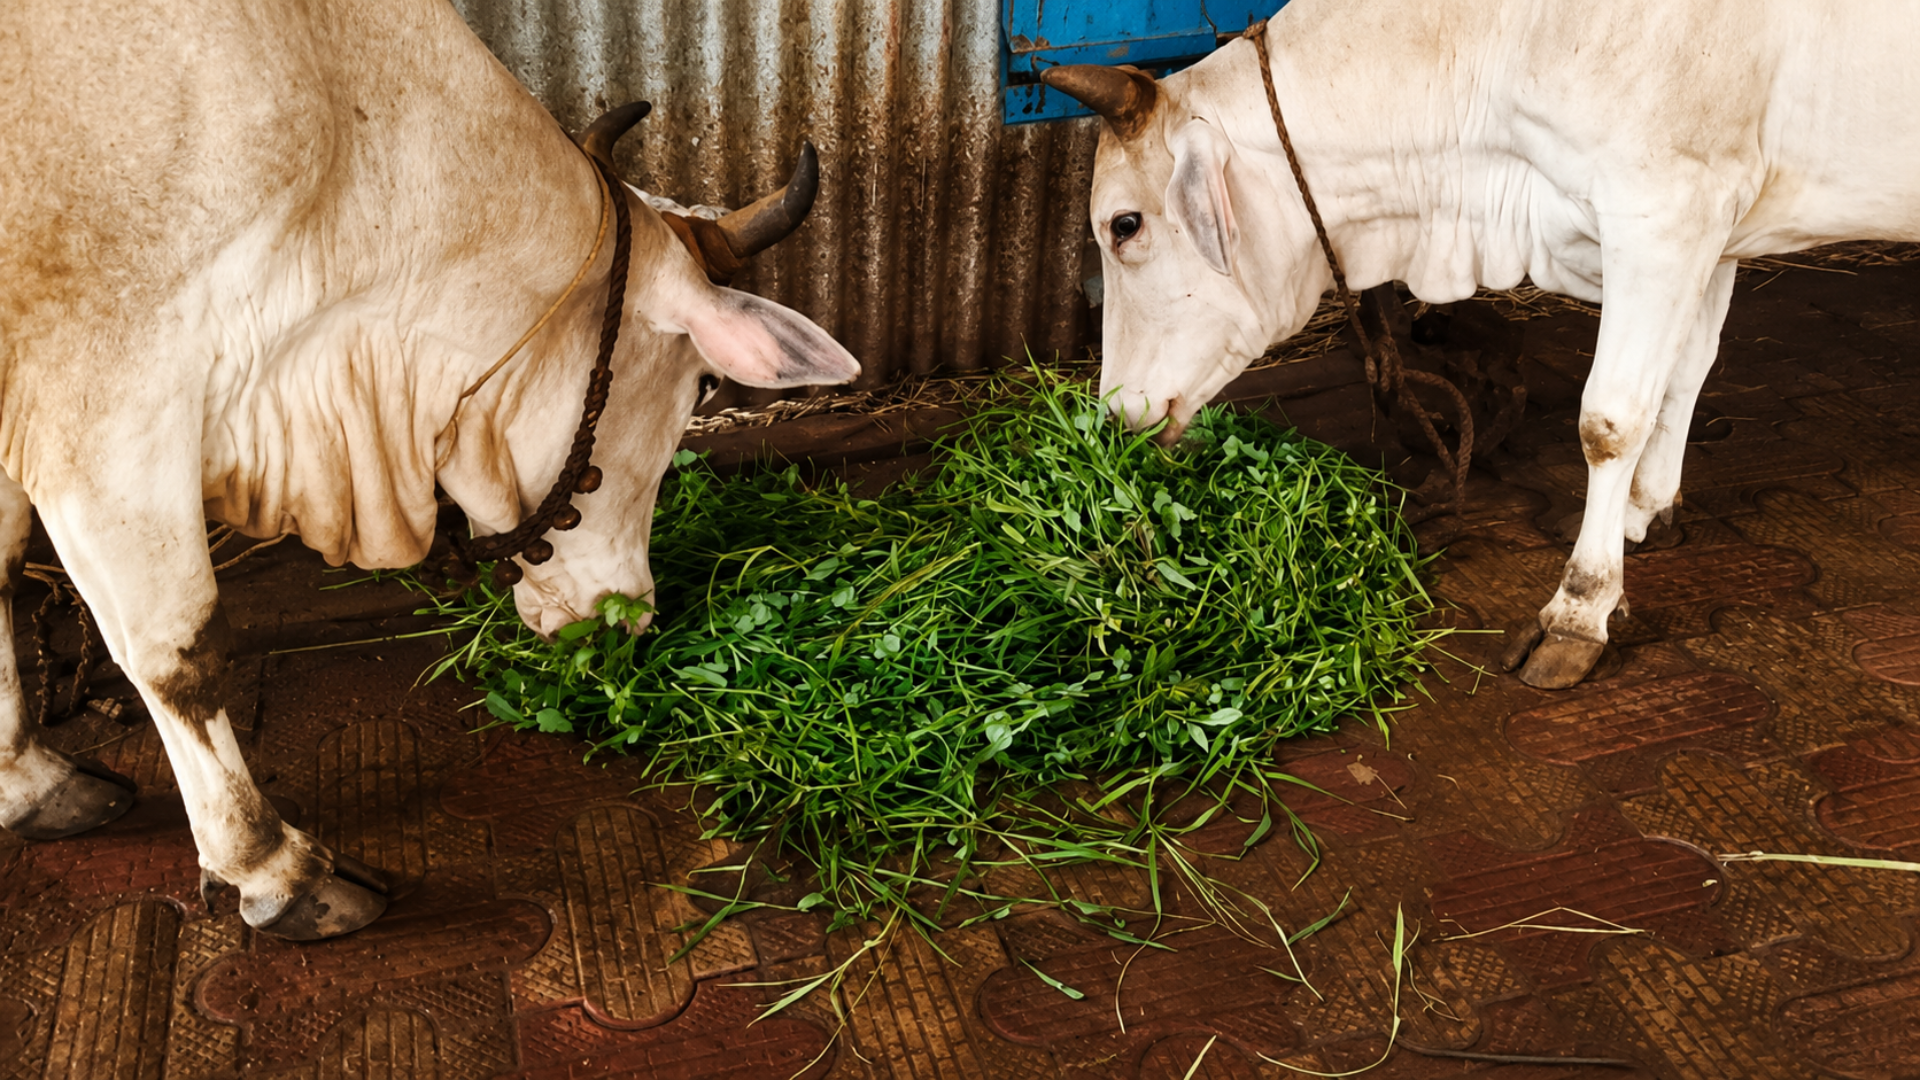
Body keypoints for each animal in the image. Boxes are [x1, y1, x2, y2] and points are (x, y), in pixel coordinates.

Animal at [0, 0, 860, 940]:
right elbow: (178, 653)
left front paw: (28, 781)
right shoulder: (108, 404)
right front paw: (274, 868)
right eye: (702, 382)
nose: (631, 618)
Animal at [1041, 0, 1920, 691]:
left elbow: (1610, 422)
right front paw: (1649, 509)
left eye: (1124, 225)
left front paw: (1579, 611)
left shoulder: (1666, 204)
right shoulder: (1712, 223)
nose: (1113, 412)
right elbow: (1682, 374)